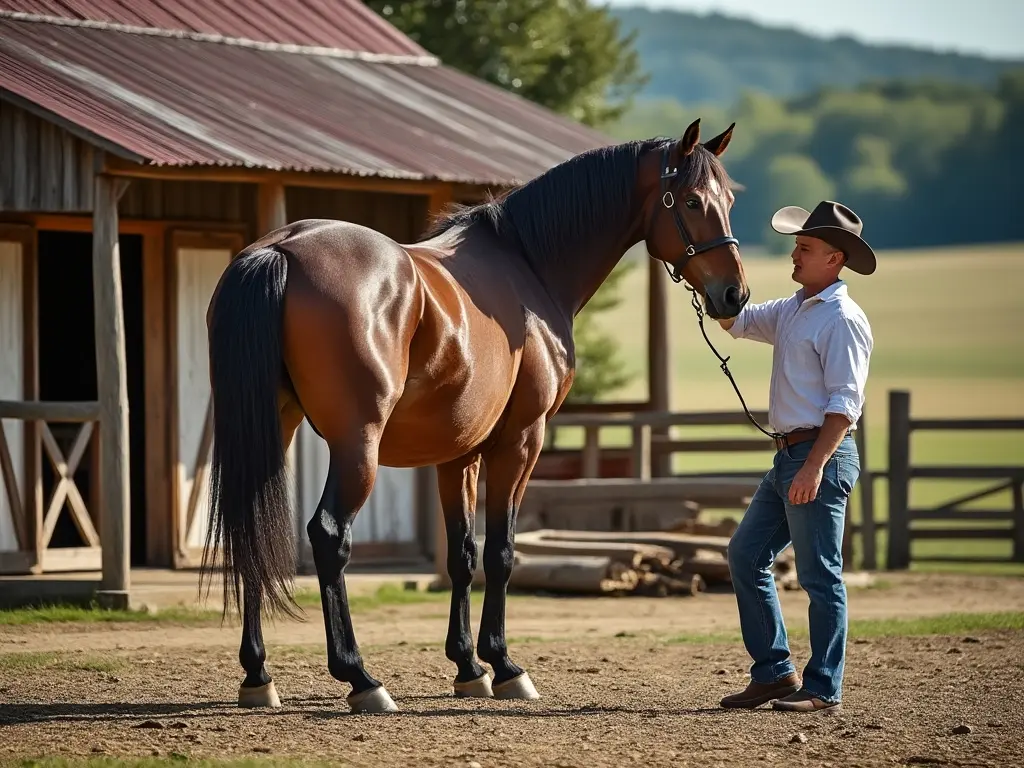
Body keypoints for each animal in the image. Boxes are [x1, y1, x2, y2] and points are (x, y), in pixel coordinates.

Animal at [199, 115, 749, 716]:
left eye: (729, 200)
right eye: (692, 200)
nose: (734, 294)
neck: (528, 266)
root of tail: (280, 249)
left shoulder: (457, 454)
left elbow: (463, 555)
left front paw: (468, 667)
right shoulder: (521, 441)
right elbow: (502, 552)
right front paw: (505, 666)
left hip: (273, 429)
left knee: (252, 529)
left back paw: (258, 676)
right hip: (356, 444)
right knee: (328, 537)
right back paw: (361, 678)